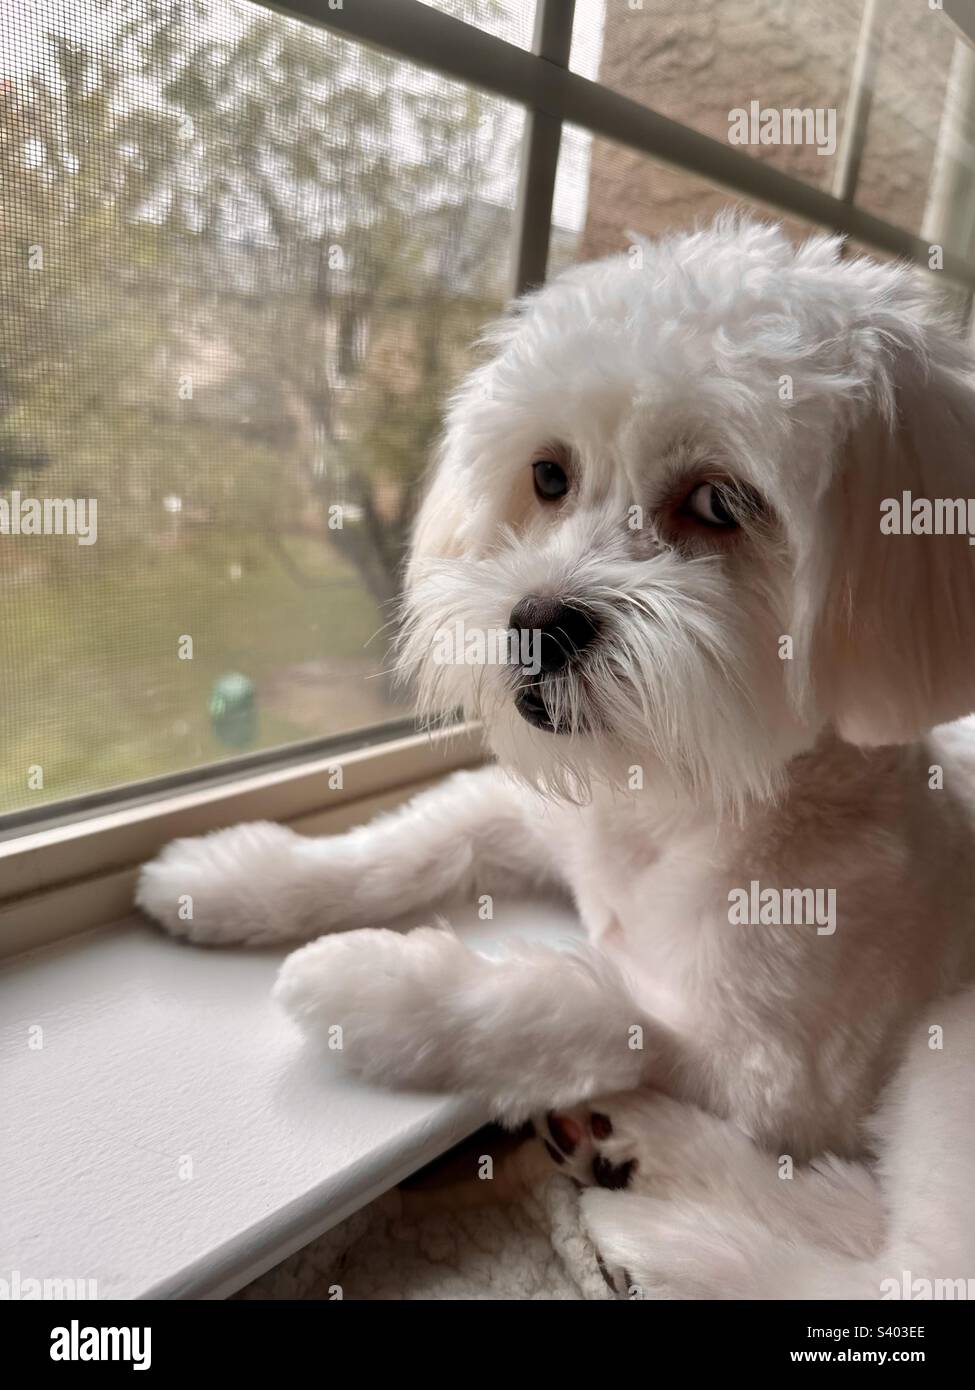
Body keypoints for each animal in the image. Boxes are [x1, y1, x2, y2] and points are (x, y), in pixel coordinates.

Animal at [137, 214, 973, 1289]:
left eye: (719, 502)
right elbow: (412, 844)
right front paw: (235, 877)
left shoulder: (774, 1079)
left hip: (948, 1061)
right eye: (548, 474)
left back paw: (666, 1219)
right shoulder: (539, 818)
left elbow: (573, 998)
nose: (533, 626)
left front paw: (378, 988)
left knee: (896, 1266)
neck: (678, 811)